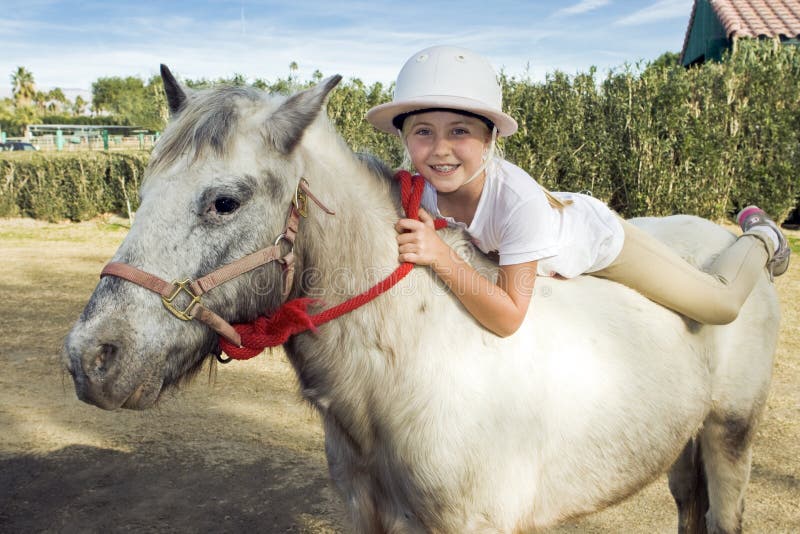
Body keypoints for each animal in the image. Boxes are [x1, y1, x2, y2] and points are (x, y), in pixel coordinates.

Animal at [65, 69, 780, 532]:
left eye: (224, 201)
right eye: (142, 190)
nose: (91, 357)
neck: (411, 365)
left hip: (729, 435)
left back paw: (764, 234)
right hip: (681, 443)